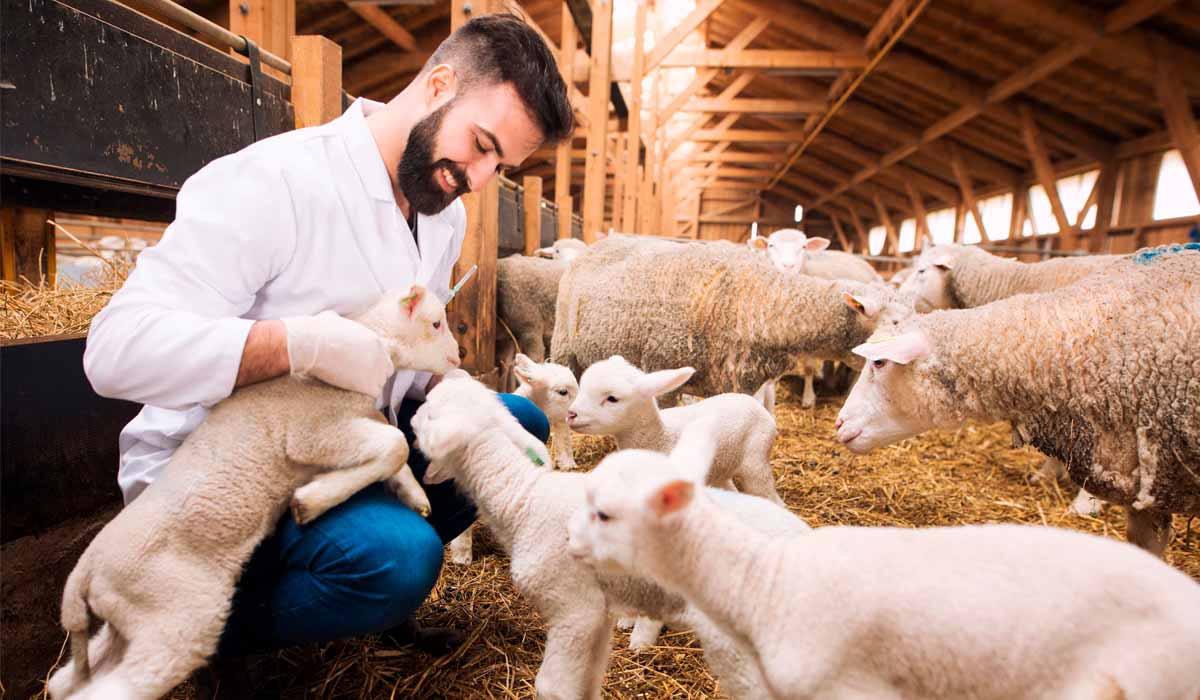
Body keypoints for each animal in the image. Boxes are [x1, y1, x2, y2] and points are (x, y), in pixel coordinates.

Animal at [48, 283, 458, 700]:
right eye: (435, 323)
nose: (458, 357)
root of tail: (84, 574)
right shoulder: (313, 433)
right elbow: (395, 443)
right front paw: (311, 501)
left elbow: (391, 442)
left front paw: (413, 494)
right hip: (172, 615)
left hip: (125, 624)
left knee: (64, 681)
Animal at [412, 377, 806, 700]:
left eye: (430, 412)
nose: (410, 416)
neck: (523, 499)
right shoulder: (596, 614)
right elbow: (589, 682)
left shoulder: (572, 608)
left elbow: (552, 689)